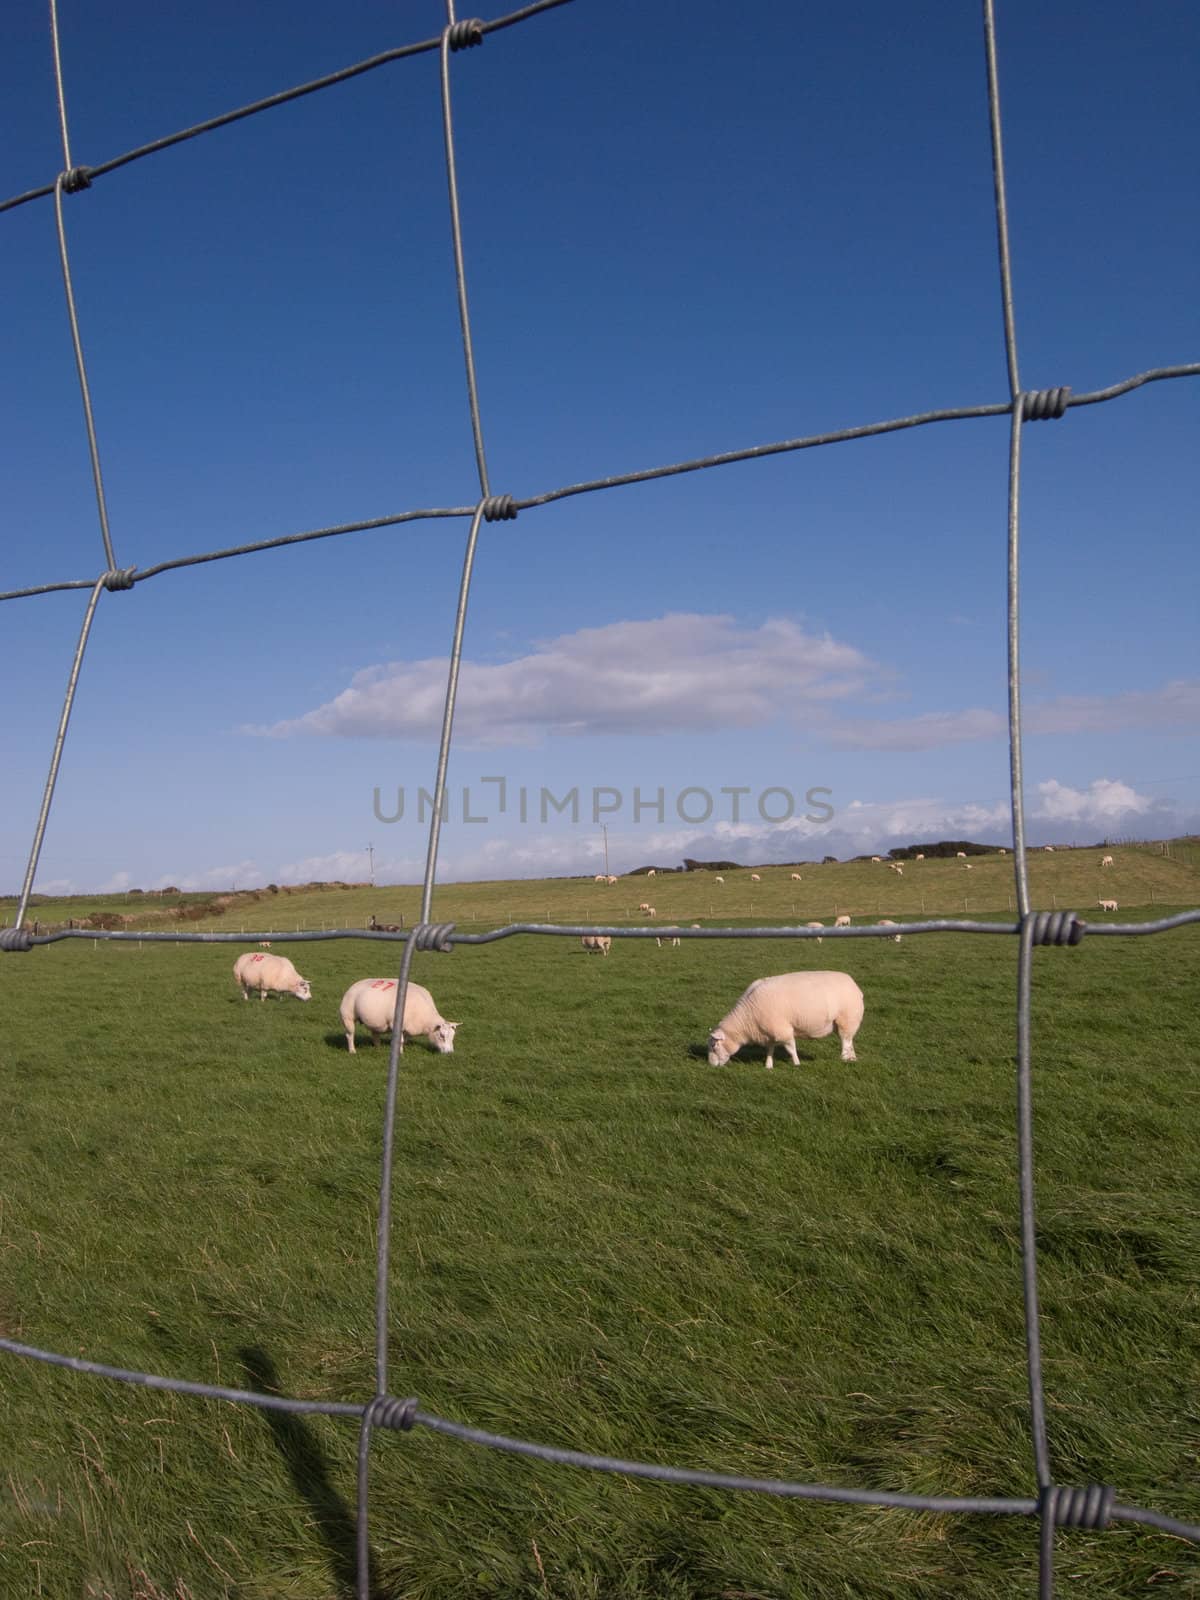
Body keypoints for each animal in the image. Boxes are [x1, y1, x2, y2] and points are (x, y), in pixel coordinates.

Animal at [704, 966, 864, 1068]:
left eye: (714, 1045)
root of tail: (854, 984)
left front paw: (797, 1064)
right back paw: (852, 1059)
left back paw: (844, 1059)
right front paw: (768, 1066)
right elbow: (770, 1050)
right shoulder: (769, 1033)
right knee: (849, 1040)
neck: (747, 1019)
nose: (710, 1065)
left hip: (847, 1019)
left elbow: (791, 1048)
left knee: (845, 1041)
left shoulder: (783, 1030)